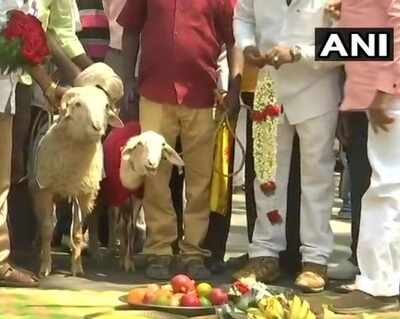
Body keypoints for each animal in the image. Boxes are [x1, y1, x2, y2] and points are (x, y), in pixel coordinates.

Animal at [31, 62, 122, 278]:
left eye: (106, 106)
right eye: (78, 105)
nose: (97, 127)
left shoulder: (82, 192)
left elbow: (78, 233)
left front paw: (77, 267)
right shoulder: (44, 190)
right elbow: (47, 228)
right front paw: (45, 266)